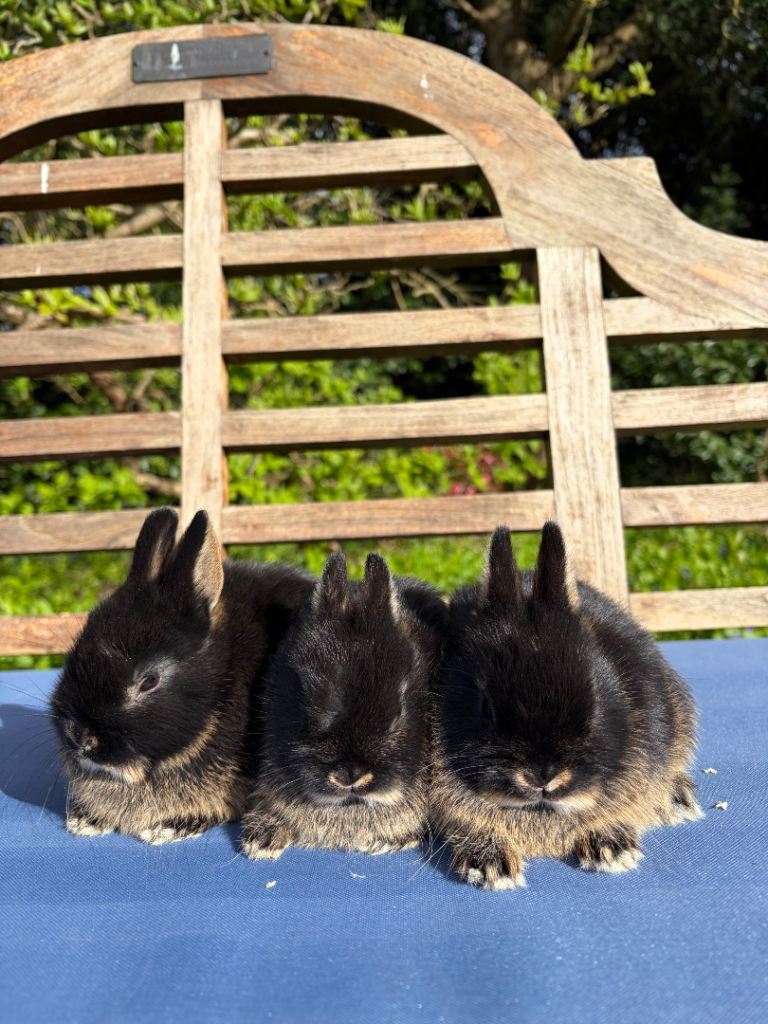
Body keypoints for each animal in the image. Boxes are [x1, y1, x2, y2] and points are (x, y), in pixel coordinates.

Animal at [431, 522, 701, 890]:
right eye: (486, 708)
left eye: (595, 700)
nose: (543, 777)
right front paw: (489, 866)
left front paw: (611, 850)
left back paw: (677, 800)